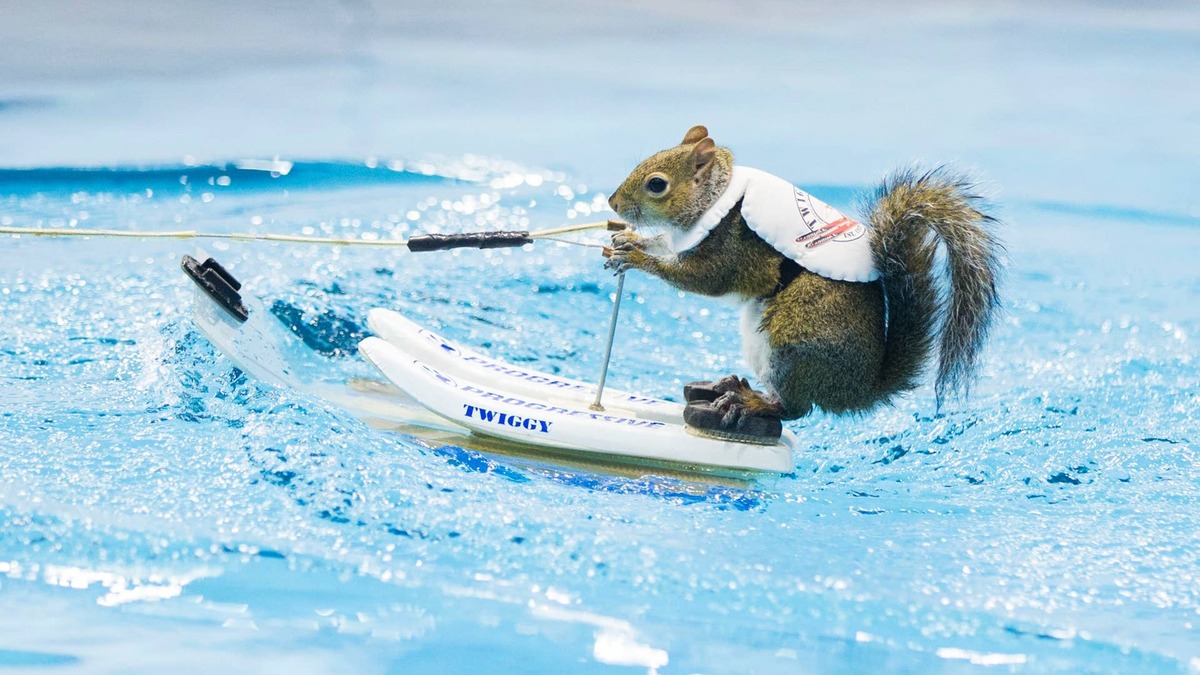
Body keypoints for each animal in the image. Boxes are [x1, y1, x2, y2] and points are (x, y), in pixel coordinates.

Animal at [603, 125, 1002, 439]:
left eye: (657, 184)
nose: (612, 202)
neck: (719, 199)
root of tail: (856, 390)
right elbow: (665, 244)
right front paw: (629, 240)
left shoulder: (734, 249)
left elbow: (702, 279)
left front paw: (636, 258)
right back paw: (733, 386)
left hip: (795, 340)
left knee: (795, 408)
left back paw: (748, 401)